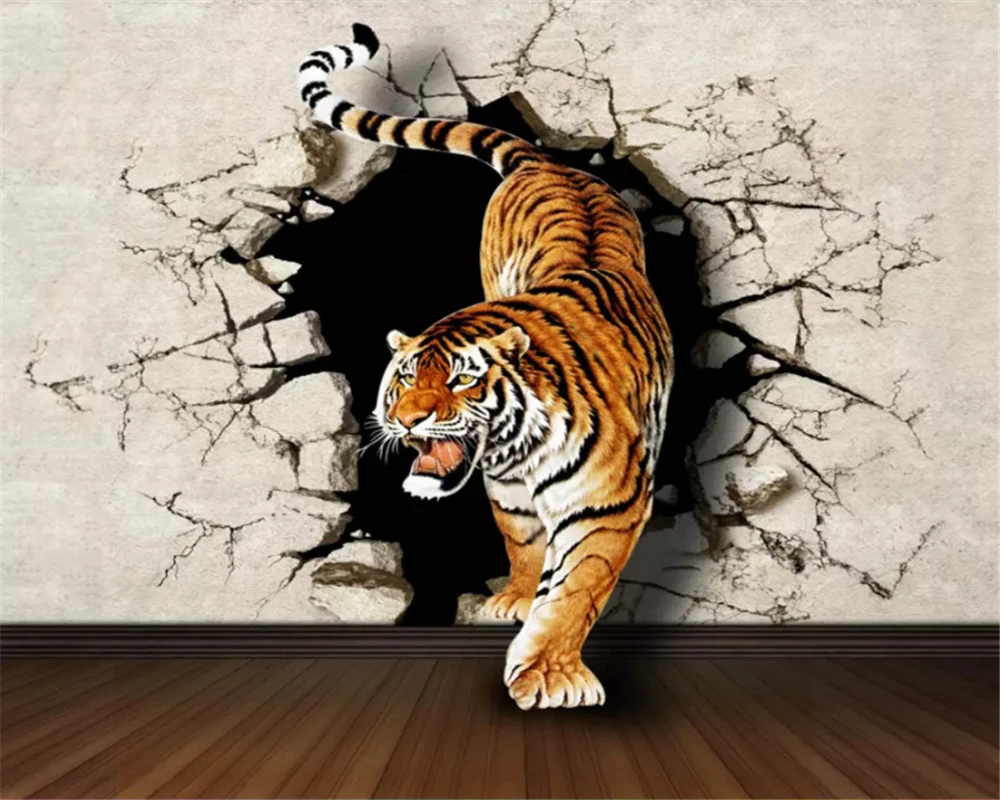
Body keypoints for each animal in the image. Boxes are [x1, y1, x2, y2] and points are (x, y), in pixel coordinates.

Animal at [298, 24, 674, 710]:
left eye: (461, 380)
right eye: (403, 382)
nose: (408, 422)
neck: (519, 449)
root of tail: (549, 161)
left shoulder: (609, 503)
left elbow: (577, 588)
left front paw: (549, 673)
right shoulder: (507, 490)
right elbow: (523, 544)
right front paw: (517, 600)